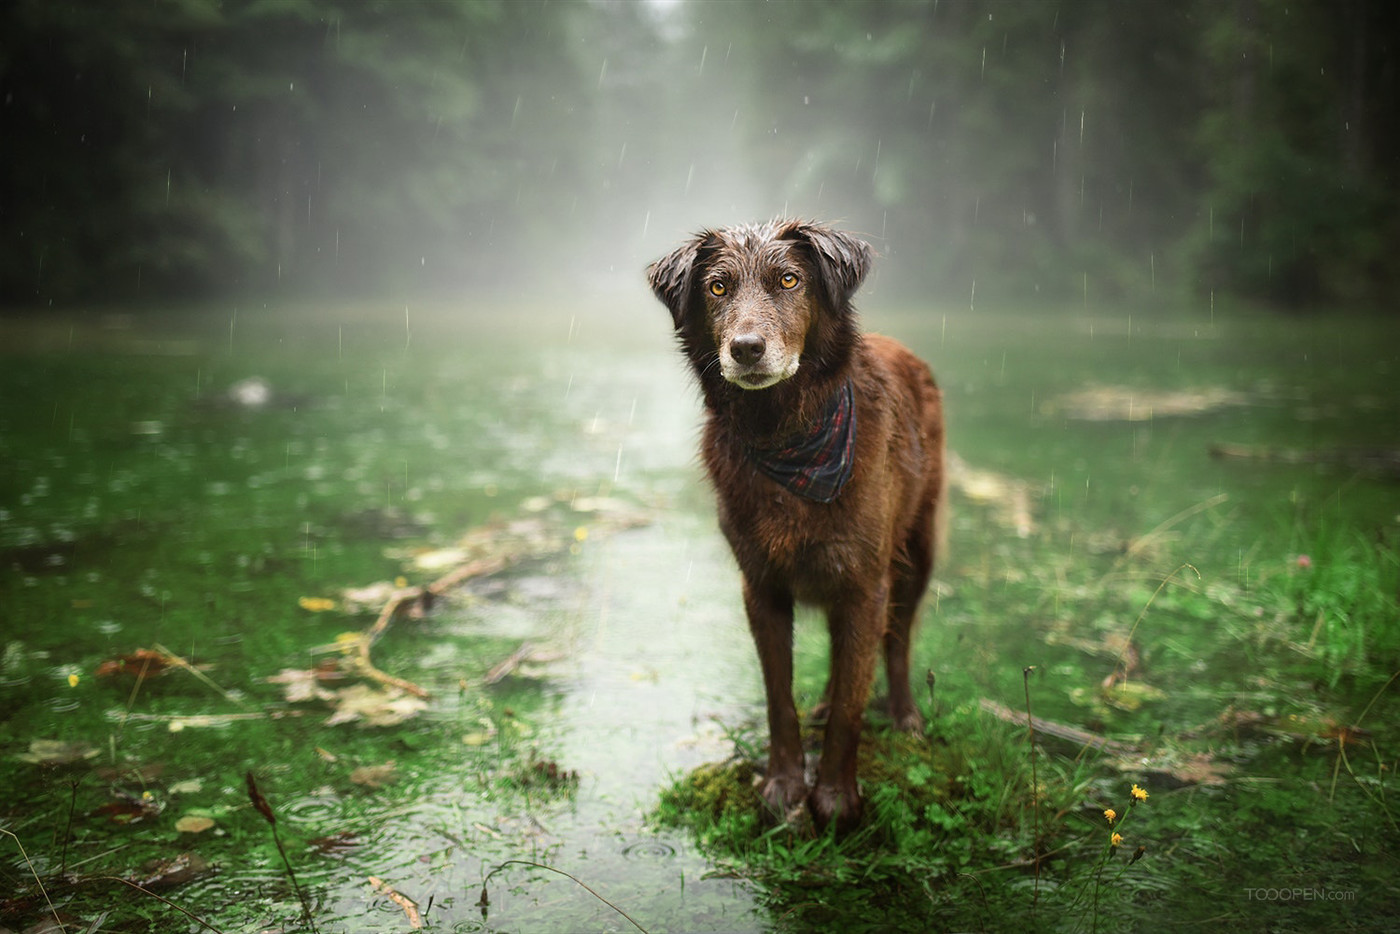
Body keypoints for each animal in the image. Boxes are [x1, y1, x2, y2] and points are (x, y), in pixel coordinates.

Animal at [649, 219, 946, 834]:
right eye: (716, 287)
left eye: (789, 280)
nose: (746, 349)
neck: (784, 432)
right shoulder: (761, 585)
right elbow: (778, 698)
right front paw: (783, 788)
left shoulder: (865, 581)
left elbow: (855, 706)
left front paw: (835, 798)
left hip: (916, 551)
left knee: (897, 641)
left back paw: (905, 716)